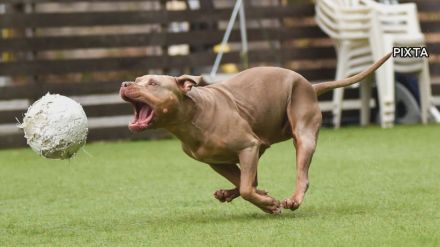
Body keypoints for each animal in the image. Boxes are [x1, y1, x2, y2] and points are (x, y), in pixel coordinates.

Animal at [119, 53, 392, 214]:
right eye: (137, 79)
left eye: (153, 83)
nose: (124, 83)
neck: (192, 116)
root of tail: (311, 85)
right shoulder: (219, 160)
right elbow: (246, 183)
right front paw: (263, 198)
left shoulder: (247, 146)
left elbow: (247, 188)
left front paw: (270, 206)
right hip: (261, 144)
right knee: (252, 179)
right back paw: (233, 193)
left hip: (302, 133)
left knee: (300, 174)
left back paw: (292, 199)